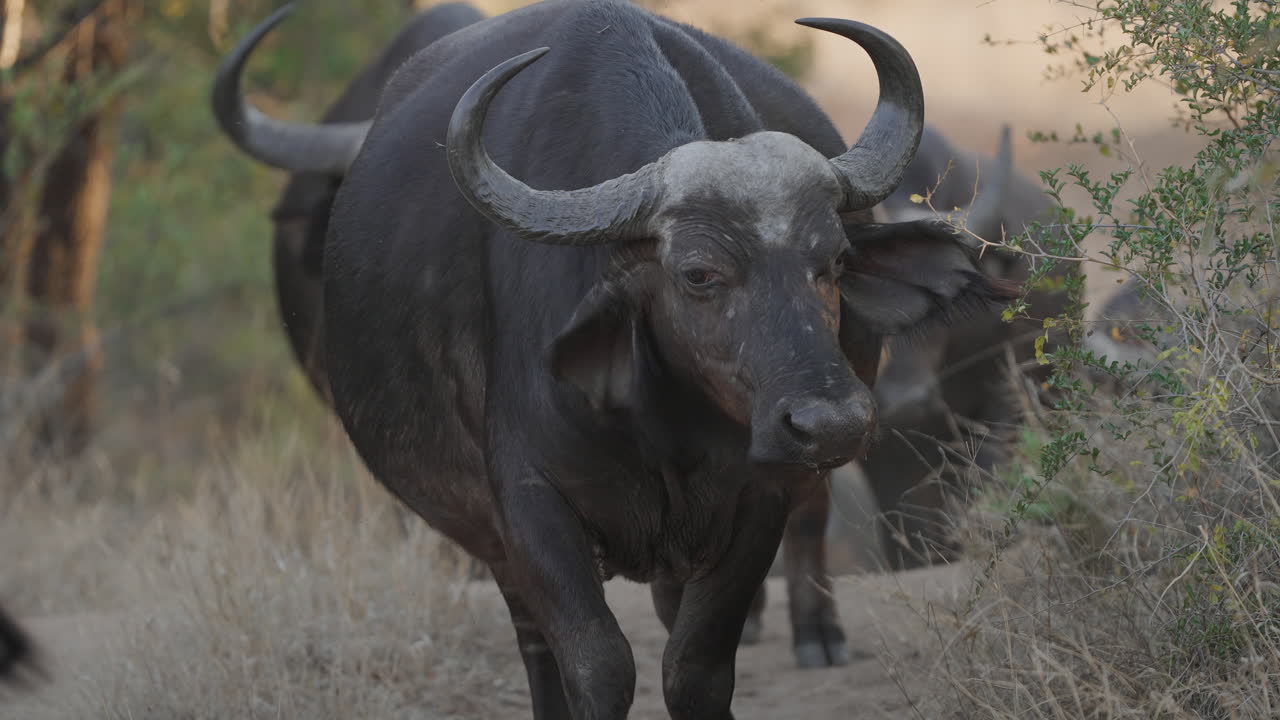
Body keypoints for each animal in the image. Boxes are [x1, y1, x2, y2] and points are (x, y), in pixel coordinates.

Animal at [216, 1, 1014, 716]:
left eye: (836, 260)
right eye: (698, 274)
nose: (833, 421)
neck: (659, 424)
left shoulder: (755, 498)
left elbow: (696, 664)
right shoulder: (528, 505)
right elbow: (595, 663)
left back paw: (818, 635)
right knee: (535, 644)